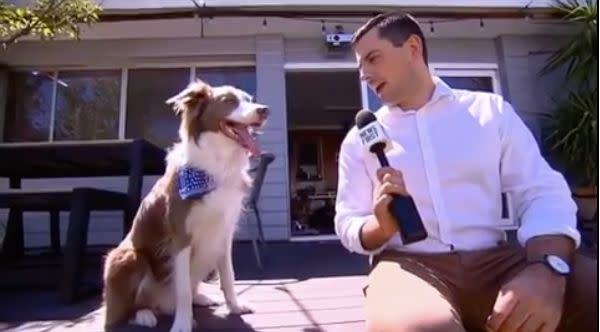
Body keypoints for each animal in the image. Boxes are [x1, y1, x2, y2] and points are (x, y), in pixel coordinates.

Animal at [103, 78, 270, 332]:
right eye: (229, 101)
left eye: (250, 100)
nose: (264, 110)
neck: (217, 165)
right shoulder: (180, 237)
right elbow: (182, 289)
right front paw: (182, 324)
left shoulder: (223, 233)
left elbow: (229, 275)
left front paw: (234, 306)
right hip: (127, 257)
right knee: (126, 310)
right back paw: (144, 315)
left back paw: (200, 298)